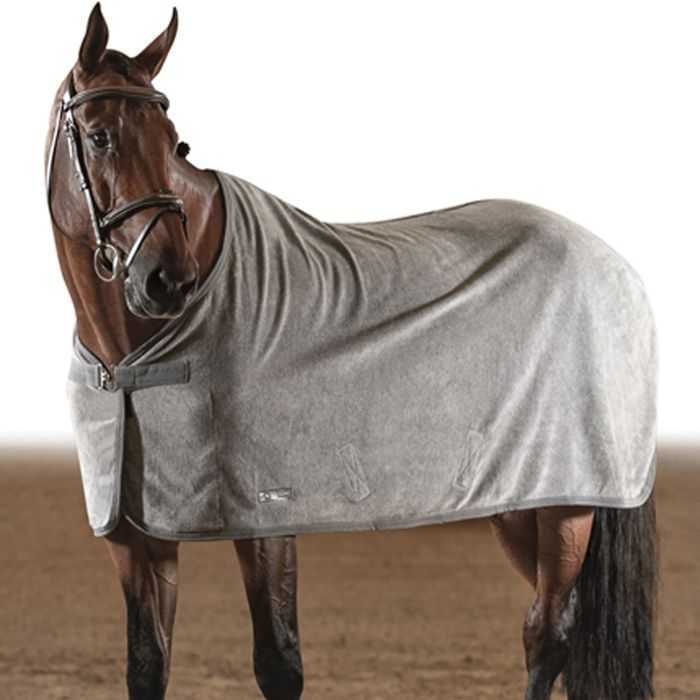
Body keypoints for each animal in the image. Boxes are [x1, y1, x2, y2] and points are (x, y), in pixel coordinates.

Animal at [44, 5, 658, 699]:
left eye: (177, 142)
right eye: (99, 136)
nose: (167, 281)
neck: (132, 358)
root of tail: (614, 264)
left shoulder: (265, 518)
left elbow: (278, 663)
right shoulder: (132, 538)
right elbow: (147, 665)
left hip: (567, 507)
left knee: (547, 630)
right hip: (518, 502)